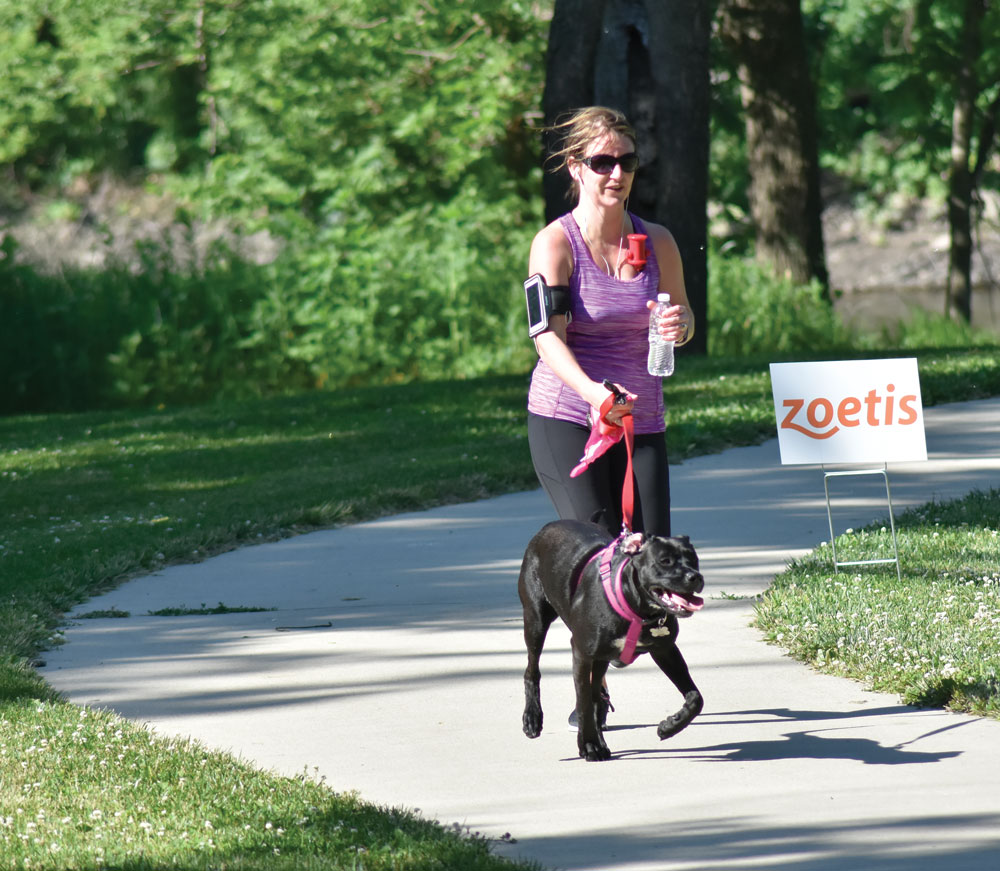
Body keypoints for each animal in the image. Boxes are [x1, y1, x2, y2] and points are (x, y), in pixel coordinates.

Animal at [524, 520, 704, 760]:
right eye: (664, 561)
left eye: (694, 559)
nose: (695, 577)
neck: (639, 607)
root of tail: (548, 526)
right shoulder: (581, 652)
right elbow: (583, 701)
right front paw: (589, 745)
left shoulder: (665, 650)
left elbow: (695, 698)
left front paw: (671, 725)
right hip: (535, 621)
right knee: (532, 671)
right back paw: (533, 719)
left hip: (600, 659)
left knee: (596, 695)